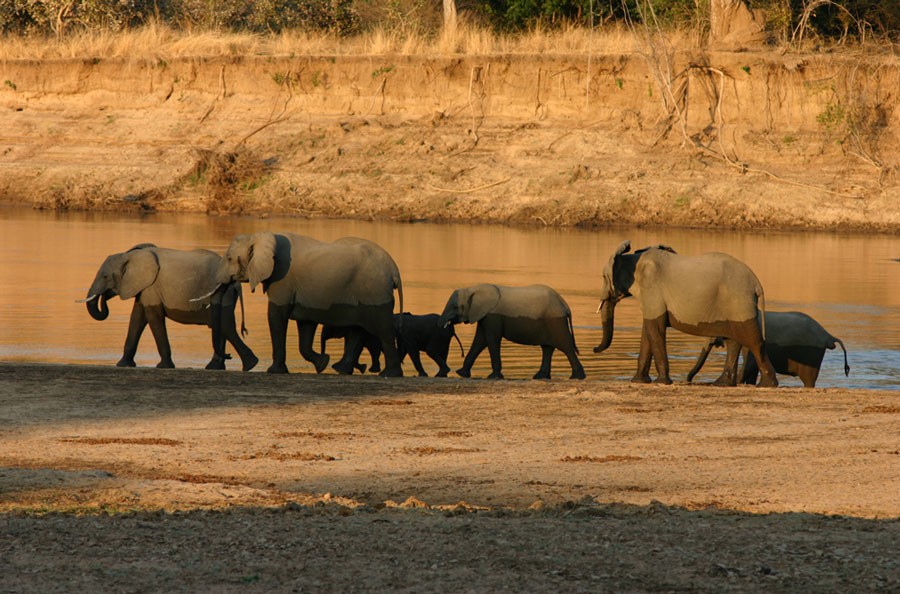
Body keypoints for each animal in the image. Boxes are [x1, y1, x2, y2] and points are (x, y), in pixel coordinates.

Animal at [77, 243, 256, 368]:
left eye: (105, 276)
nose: (104, 297)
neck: (130, 256)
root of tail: (237, 285)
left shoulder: (151, 286)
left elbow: (152, 316)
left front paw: (163, 366)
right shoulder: (144, 289)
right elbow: (137, 317)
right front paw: (123, 365)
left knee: (225, 325)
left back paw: (249, 365)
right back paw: (216, 367)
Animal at [207, 231, 404, 374]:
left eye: (229, 259)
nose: (228, 356)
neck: (260, 237)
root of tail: (394, 269)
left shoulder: (282, 279)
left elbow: (276, 316)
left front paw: (274, 371)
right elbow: (305, 326)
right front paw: (322, 363)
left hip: (375, 291)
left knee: (384, 330)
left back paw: (390, 374)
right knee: (358, 330)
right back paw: (341, 370)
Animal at [436, 284, 584, 380]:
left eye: (456, 307)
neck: (472, 289)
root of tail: (565, 305)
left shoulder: (492, 316)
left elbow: (491, 339)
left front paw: (494, 377)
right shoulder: (484, 316)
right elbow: (480, 340)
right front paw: (461, 373)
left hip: (556, 322)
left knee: (566, 347)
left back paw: (577, 376)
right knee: (547, 348)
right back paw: (540, 377)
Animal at [596, 238, 776, 386]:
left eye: (603, 277)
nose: (594, 349)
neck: (634, 259)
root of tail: (756, 283)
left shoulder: (652, 288)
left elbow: (655, 329)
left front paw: (661, 382)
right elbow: (648, 330)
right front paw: (638, 381)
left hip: (739, 301)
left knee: (753, 340)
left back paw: (767, 384)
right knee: (733, 340)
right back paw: (722, 383)